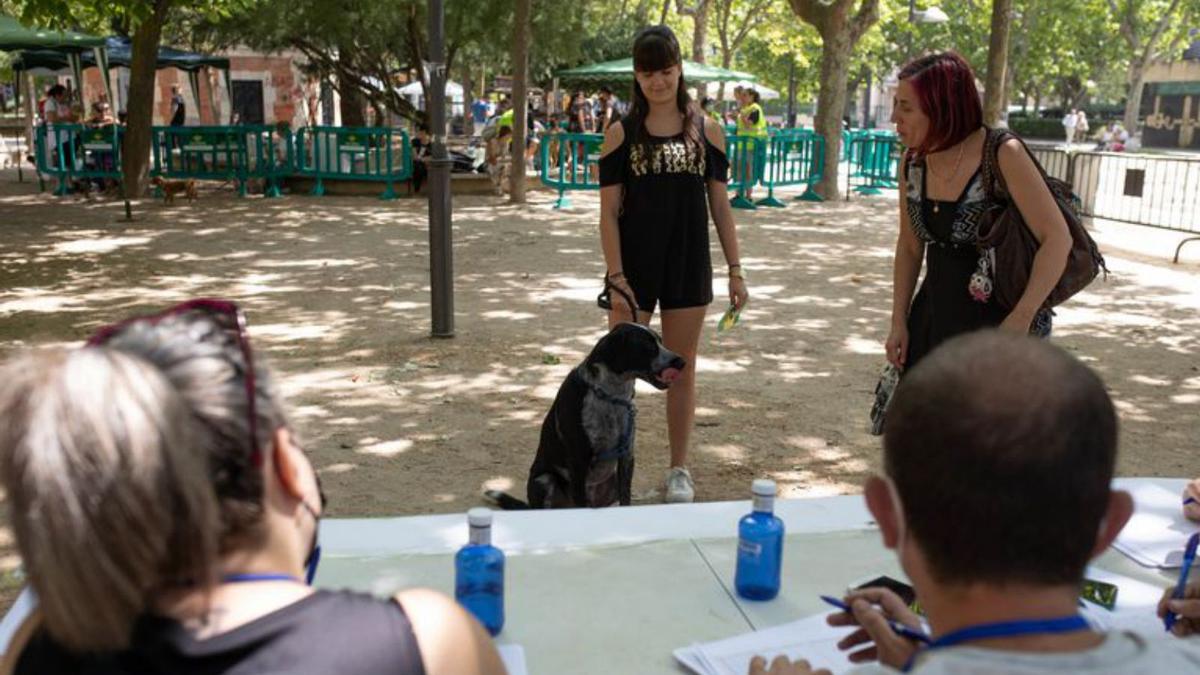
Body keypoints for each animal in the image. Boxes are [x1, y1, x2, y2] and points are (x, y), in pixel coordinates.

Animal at [482, 324, 681, 506]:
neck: (610, 397)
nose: (681, 361)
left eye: (661, 341)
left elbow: (626, 499)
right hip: (544, 480)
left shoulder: (627, 456)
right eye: (647, 346)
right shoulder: (579, 462)